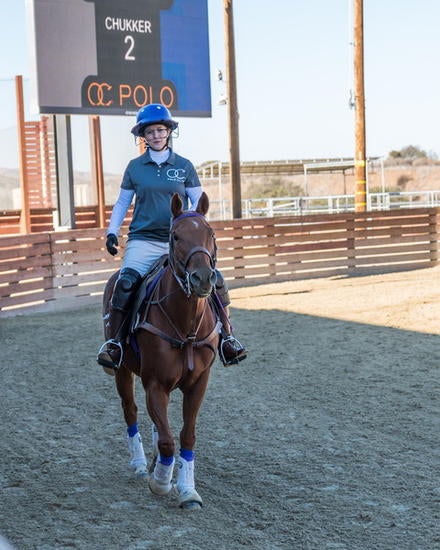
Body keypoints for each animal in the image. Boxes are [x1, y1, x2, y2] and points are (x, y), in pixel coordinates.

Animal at [102, 192, 222, 512]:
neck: (185, 326)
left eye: (210, 233)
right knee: (131, 411)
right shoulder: (154, 382)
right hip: (122, 370)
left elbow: (186, 436)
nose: (202, 278)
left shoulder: (199, 382)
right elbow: (168, 439)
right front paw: (160, 482)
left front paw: (187, 490)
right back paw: (141, 464)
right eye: (175, 235)